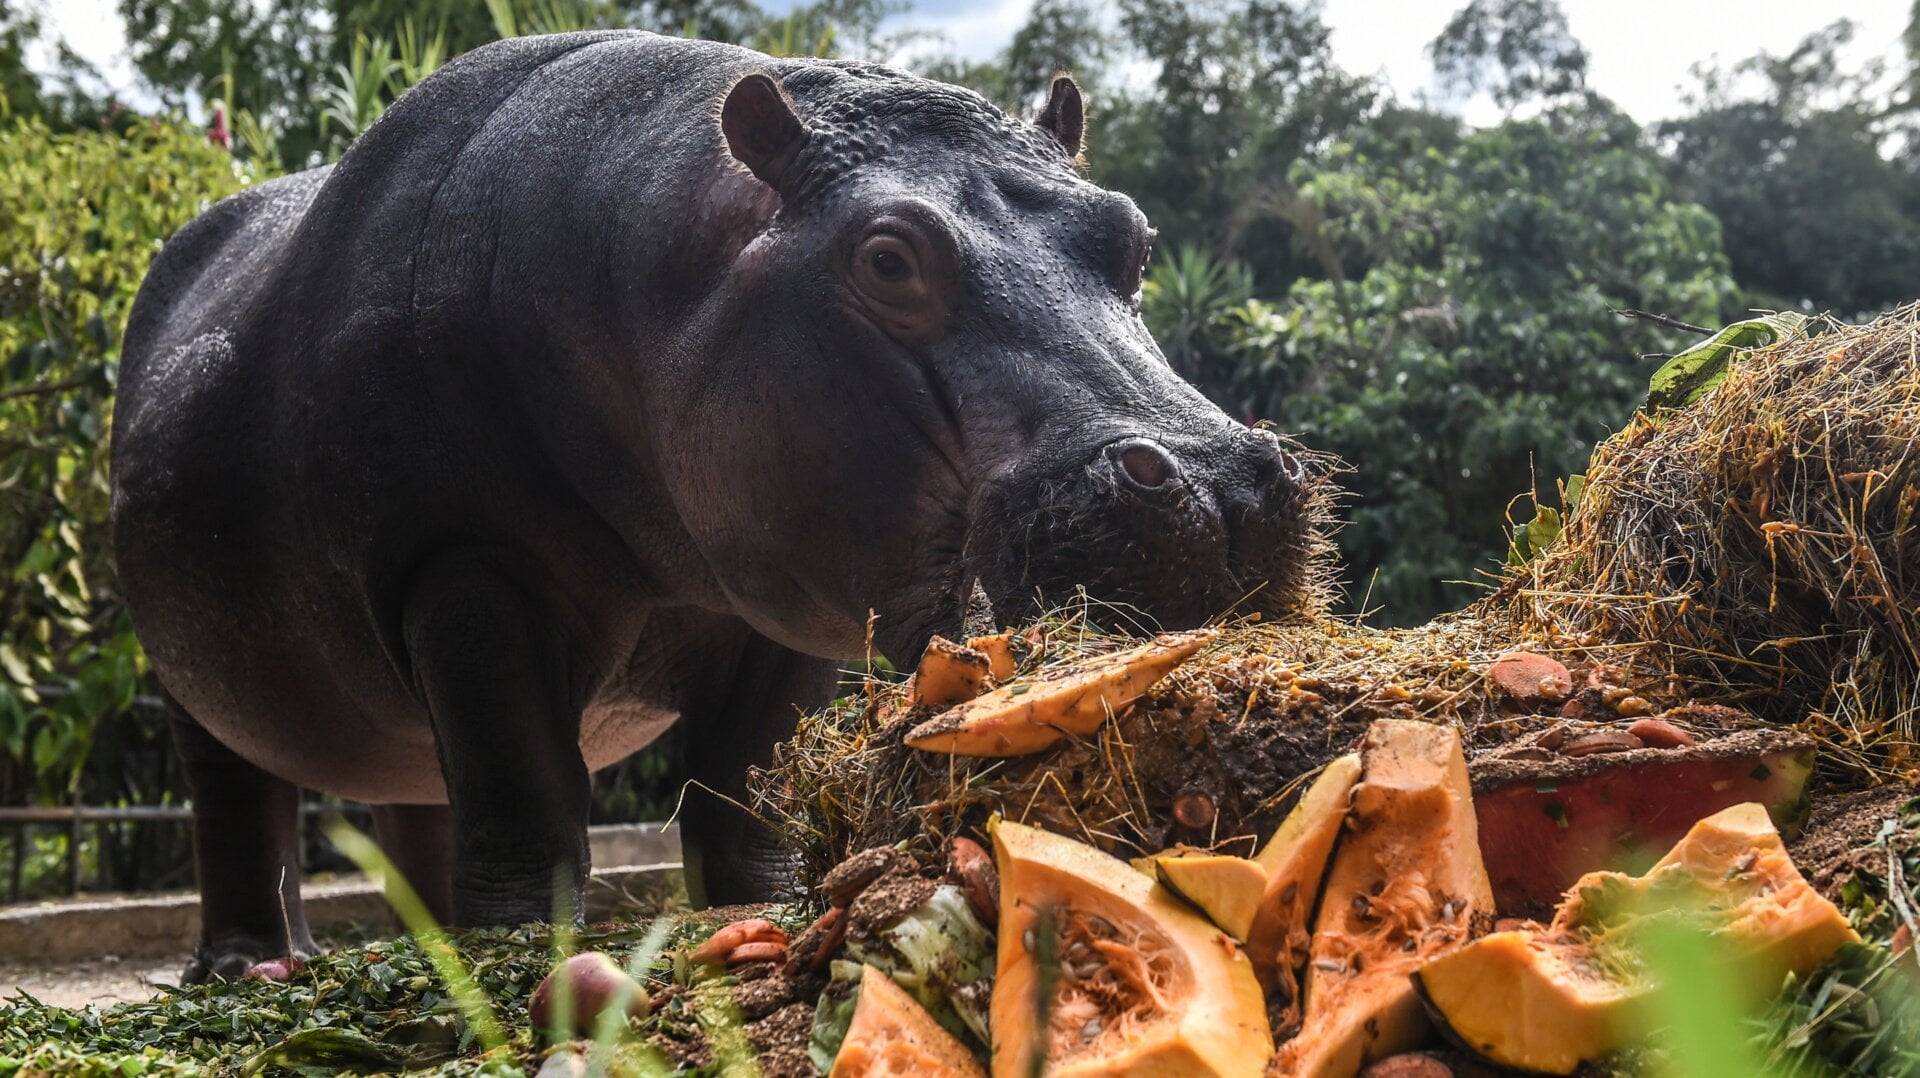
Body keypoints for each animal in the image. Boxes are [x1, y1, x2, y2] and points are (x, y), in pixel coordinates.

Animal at [109, 30, 1326, 981]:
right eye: (887, 257)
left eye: (1134, 235)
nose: (1217, 484)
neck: (656, 260)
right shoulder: (463, 566)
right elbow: (527, 784)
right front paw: (524, 950)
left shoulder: (781, 596)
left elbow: (743, 778)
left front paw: (762, 906)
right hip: (191, 677)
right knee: (240, 800)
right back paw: (250, 966)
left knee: (415, 793)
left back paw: (424, 945)